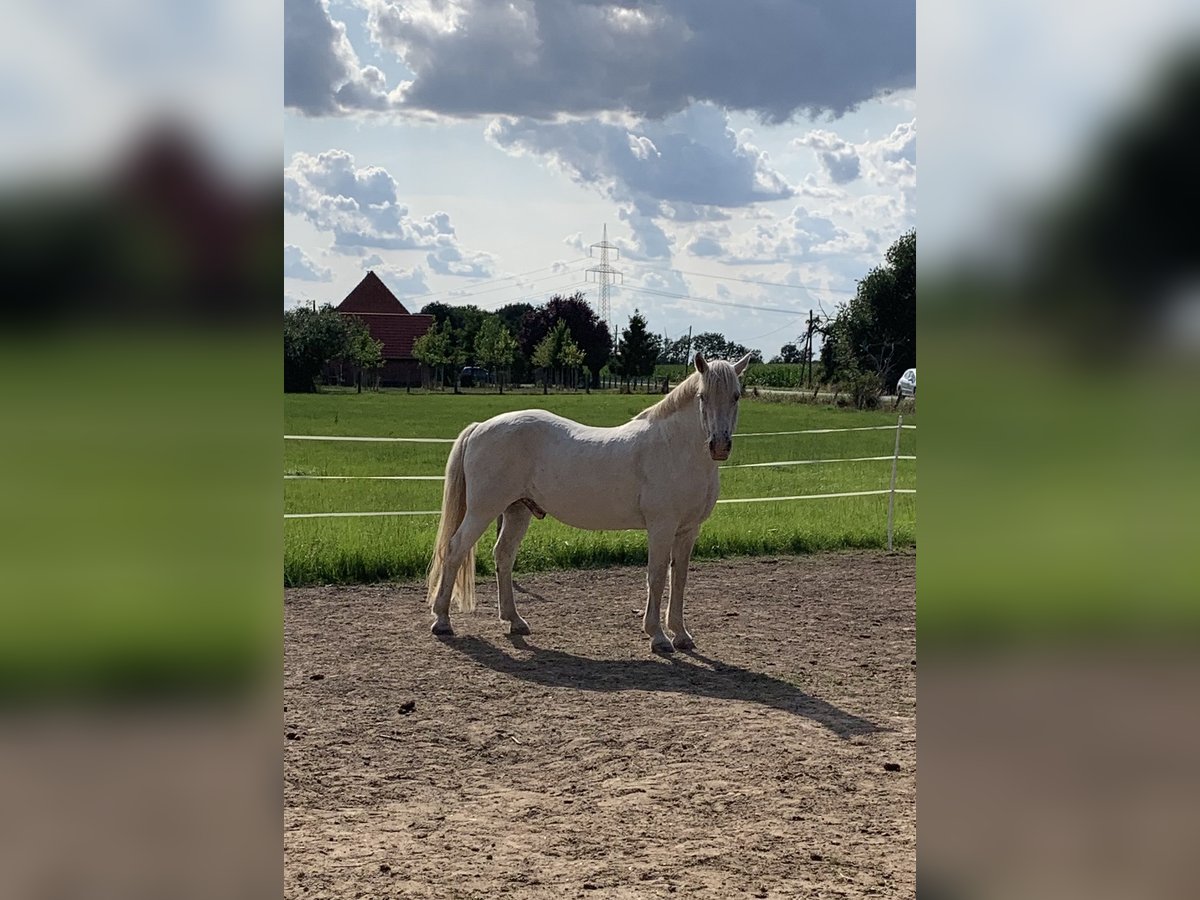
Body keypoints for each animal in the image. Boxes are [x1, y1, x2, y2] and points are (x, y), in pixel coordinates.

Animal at [426, 353, 751, 652]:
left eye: (736, 395)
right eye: (702, 396)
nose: (719, 446)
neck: (675, 449)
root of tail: (480, 427)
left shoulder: (688, 530)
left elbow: (679, 578)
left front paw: (681, 636)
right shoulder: (661, 527)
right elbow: (657, 576)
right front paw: (658, 637)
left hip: (517, 510)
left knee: (503, 556)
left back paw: (514, 620)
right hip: (483, 511)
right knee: (455, 550)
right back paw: (442, 620)